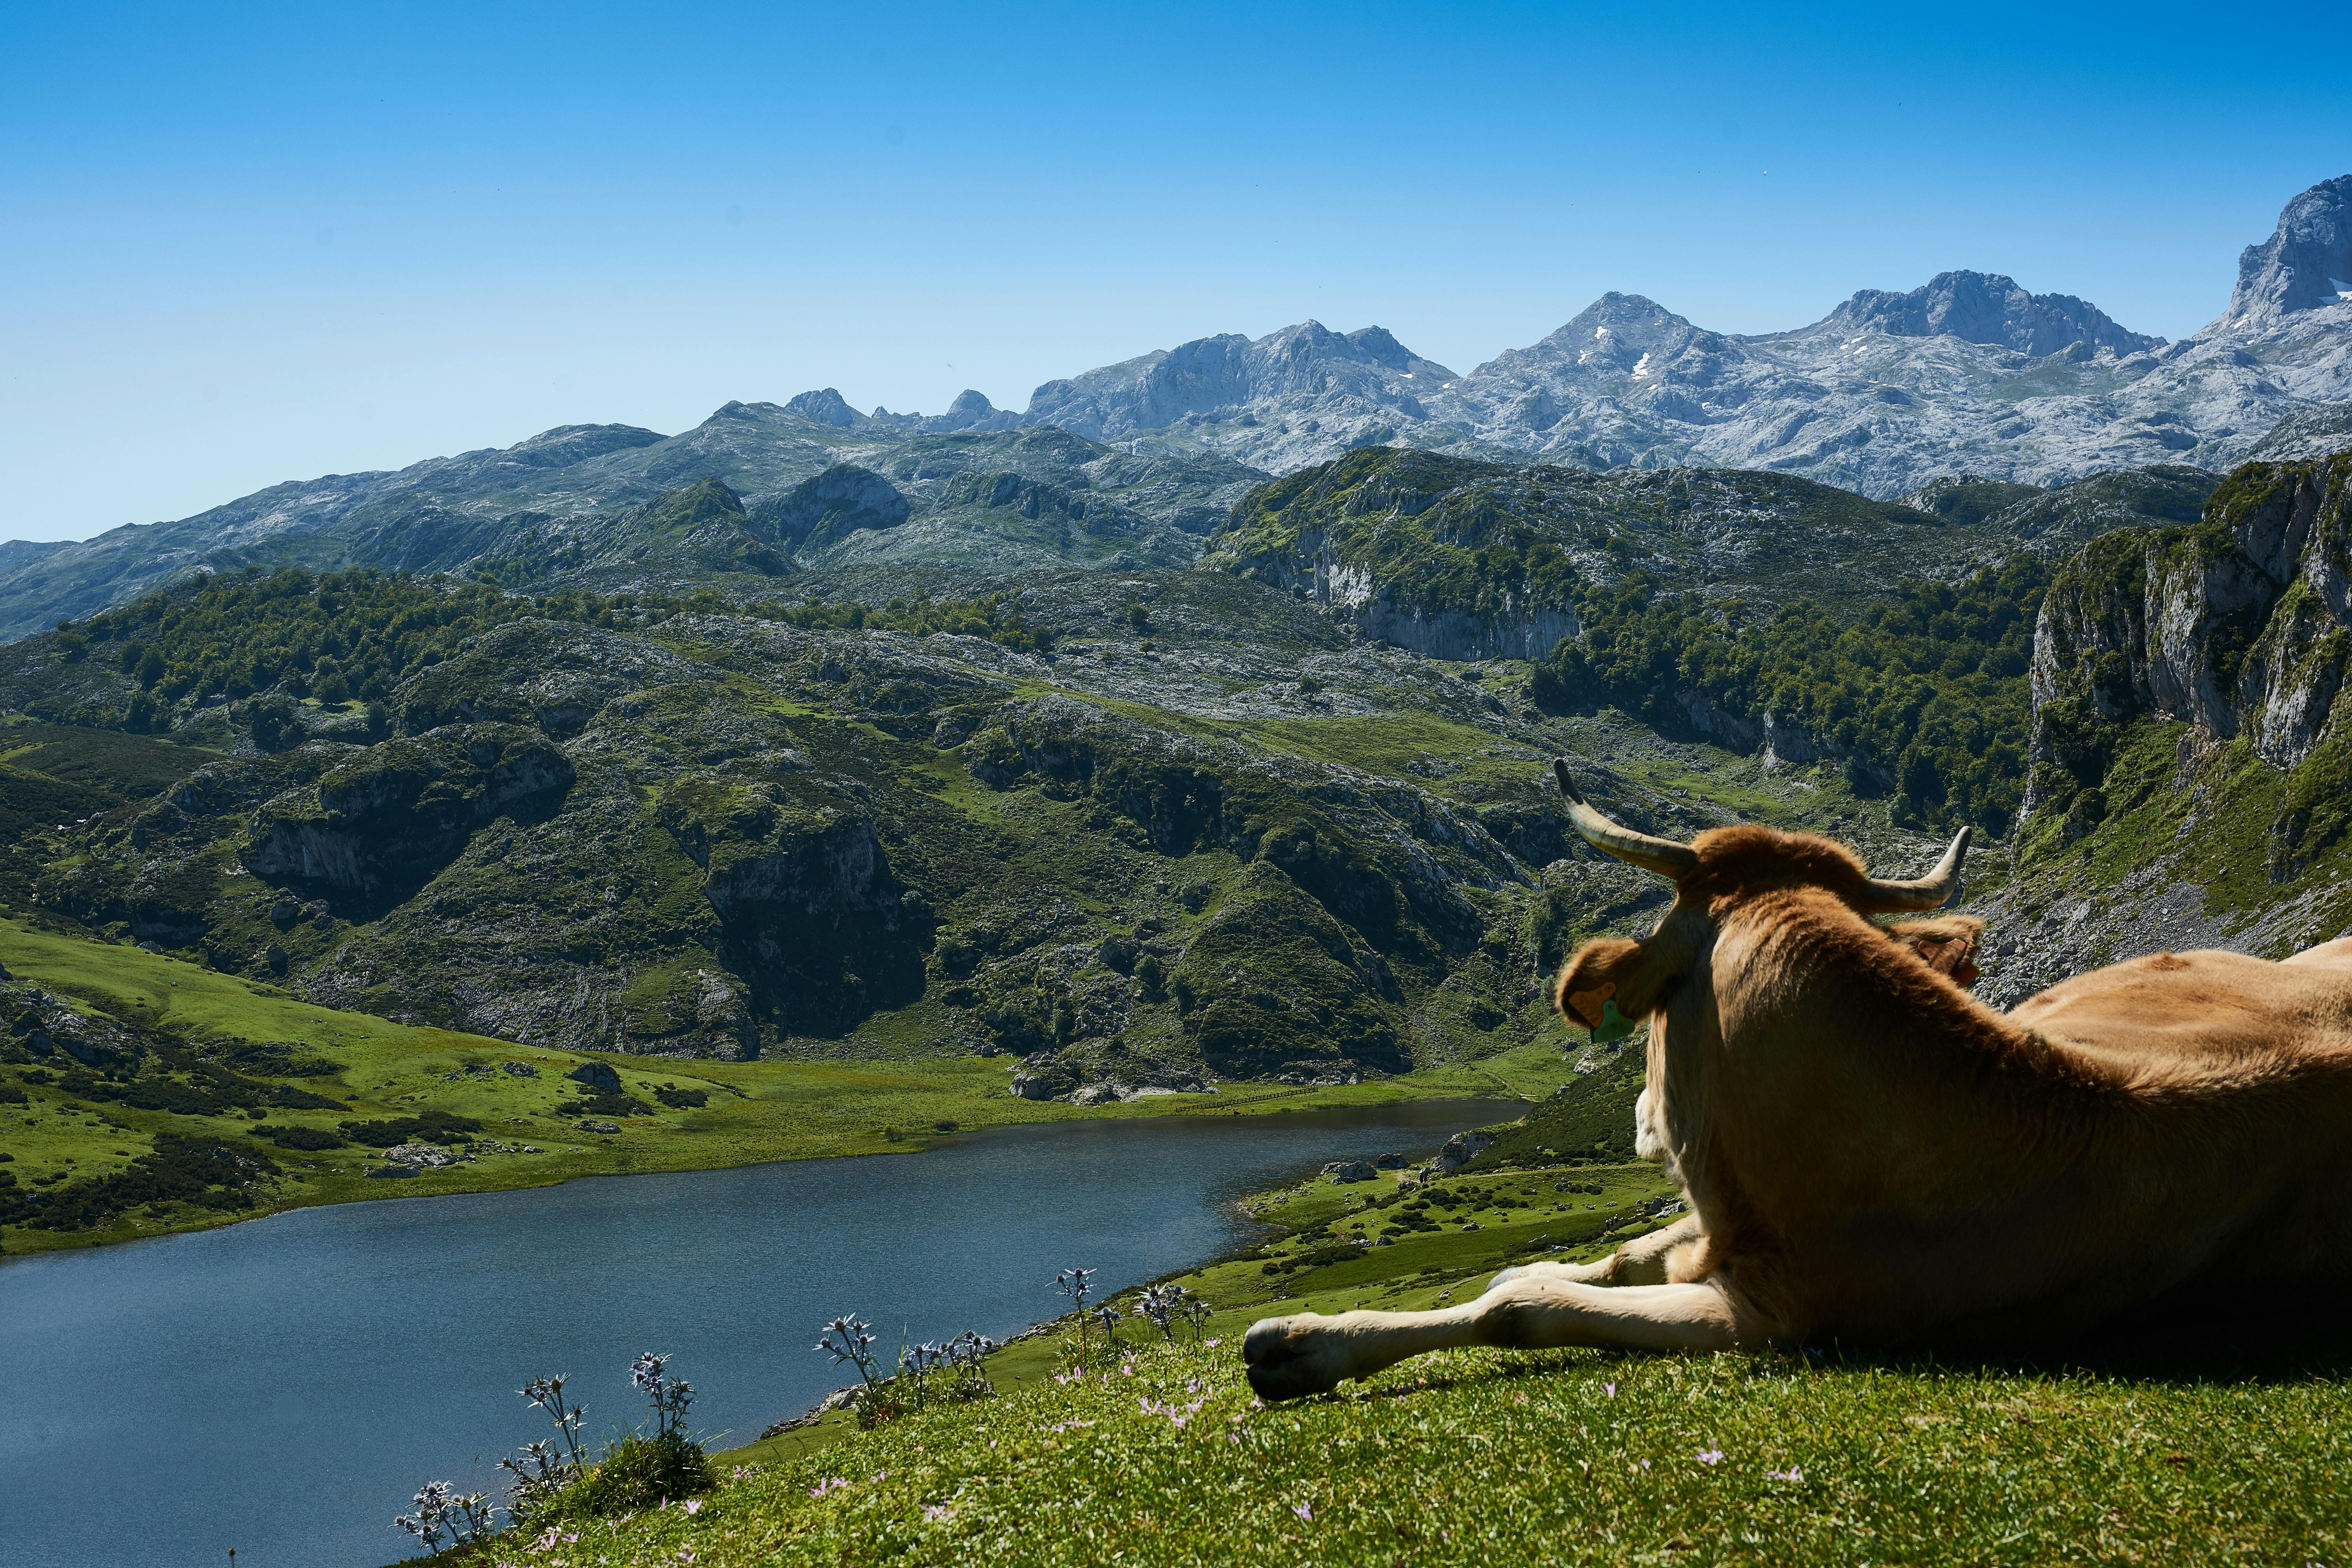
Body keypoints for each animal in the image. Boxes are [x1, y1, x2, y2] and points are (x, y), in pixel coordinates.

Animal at [1242, 761, 2352, 1401]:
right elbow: (1586, 1263)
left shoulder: (1766, 1316)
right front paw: (1322, 1334)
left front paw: (1306, 1343)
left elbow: (1522, 1304)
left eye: (1651, 1007)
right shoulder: (1708, 1238)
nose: (1639, 1118)